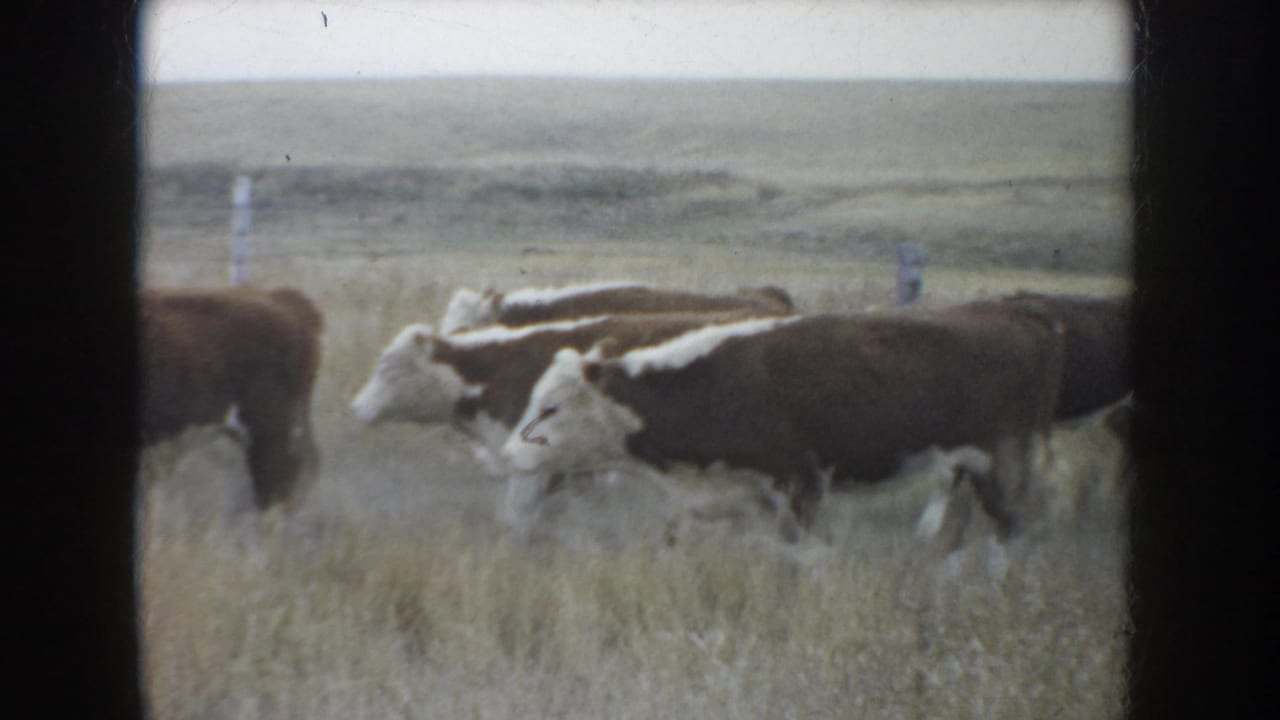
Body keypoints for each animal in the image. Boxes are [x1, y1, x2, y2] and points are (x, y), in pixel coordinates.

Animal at [501, 306, 1066, 545]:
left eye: (551, 408)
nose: (508, 455)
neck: (711, 383)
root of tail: (1021, 322)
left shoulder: (800, 487)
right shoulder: (738, 495)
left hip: (995, 460)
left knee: (1008, 529)